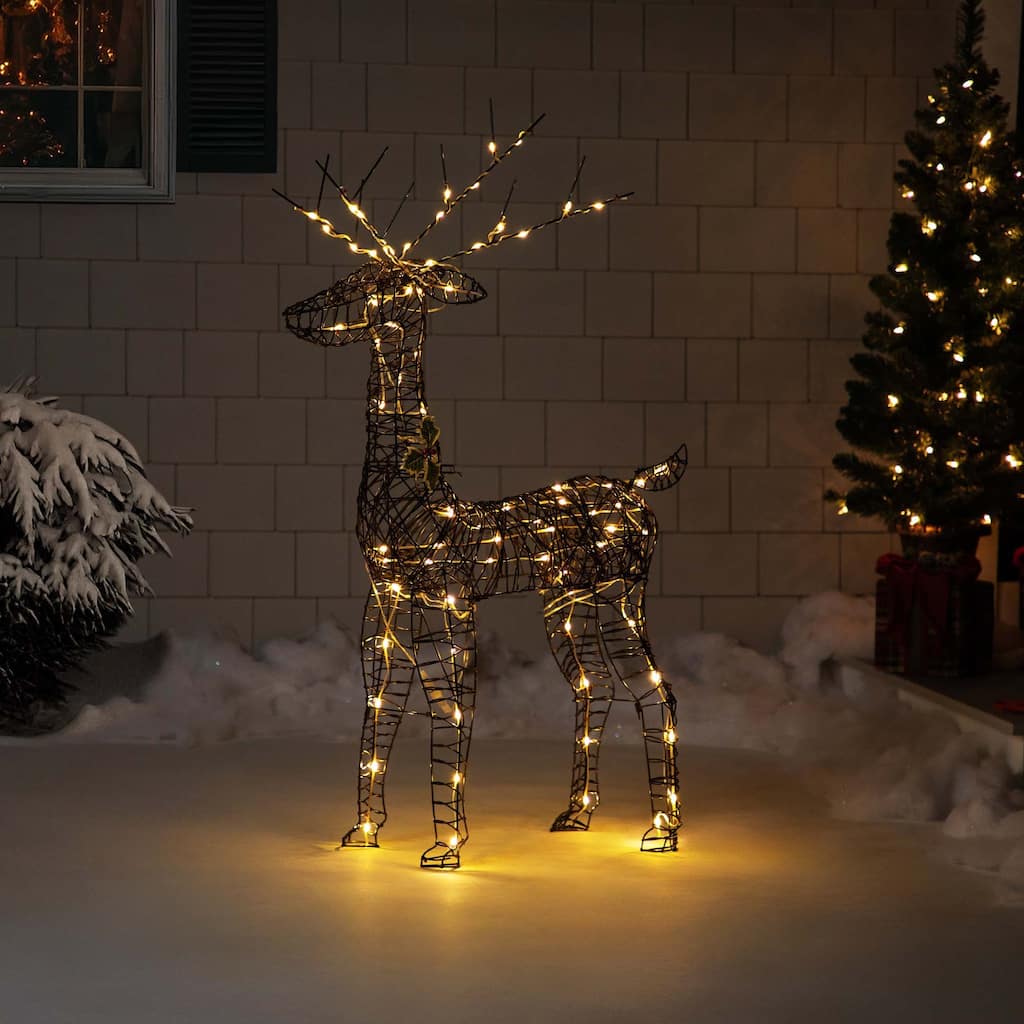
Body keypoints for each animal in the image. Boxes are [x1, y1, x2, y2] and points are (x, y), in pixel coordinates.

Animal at [279, 116, 688, 869]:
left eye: (384, 284)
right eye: (349, 274)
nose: (296, 312)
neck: (413, 507)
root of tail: (641, 487)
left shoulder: (448, 605)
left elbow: (449, 710)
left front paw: (445, 847)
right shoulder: (382, 615)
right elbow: (377, 717)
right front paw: (364, 833)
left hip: (622, 595)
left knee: (656, 690)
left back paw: (663, 830)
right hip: (568, 605)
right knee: (597, 687)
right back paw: (576, 814)